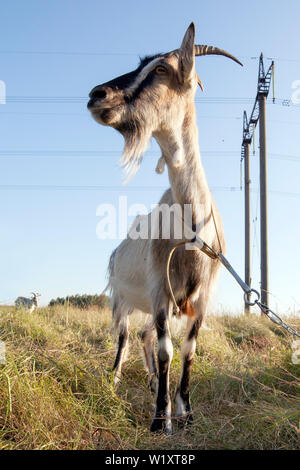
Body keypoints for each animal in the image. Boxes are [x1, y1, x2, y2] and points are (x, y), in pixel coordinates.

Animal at [87, 22, 241, 434]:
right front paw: (160, 418)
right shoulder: (159, 292)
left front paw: (185, 410)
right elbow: (166, 349)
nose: (96, 95)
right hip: (122, 299)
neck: (193, 228)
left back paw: (154, 381)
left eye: (161, 69)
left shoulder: (202, 299)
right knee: (125, 338)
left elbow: (188, 350)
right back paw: (114, 380)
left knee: (140, 338)